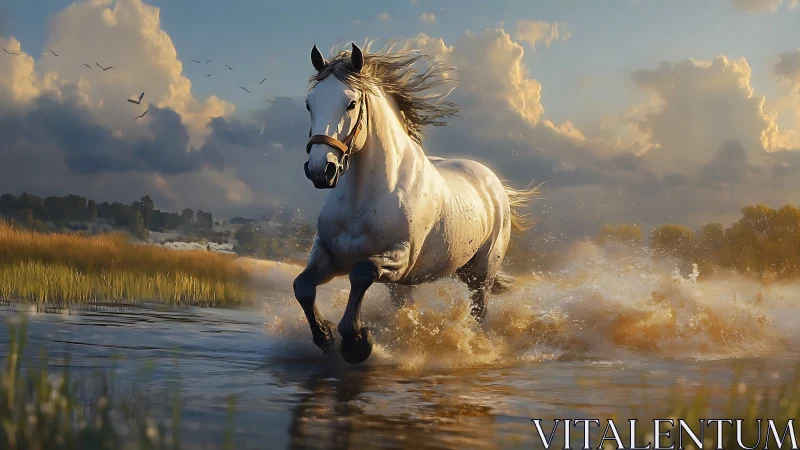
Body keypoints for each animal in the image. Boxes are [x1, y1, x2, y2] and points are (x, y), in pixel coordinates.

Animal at [294, 41, 538, 364]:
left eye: (351, 104)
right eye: (309, 104)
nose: (322, 170)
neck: (363, 198)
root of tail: (494, 184)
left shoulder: (400, 258)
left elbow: (361, 273)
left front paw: (357, 342)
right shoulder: (329, 254)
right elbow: (303, 287)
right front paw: (325, 335)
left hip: (480, 275)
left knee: (479, 312)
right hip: (414, 283)